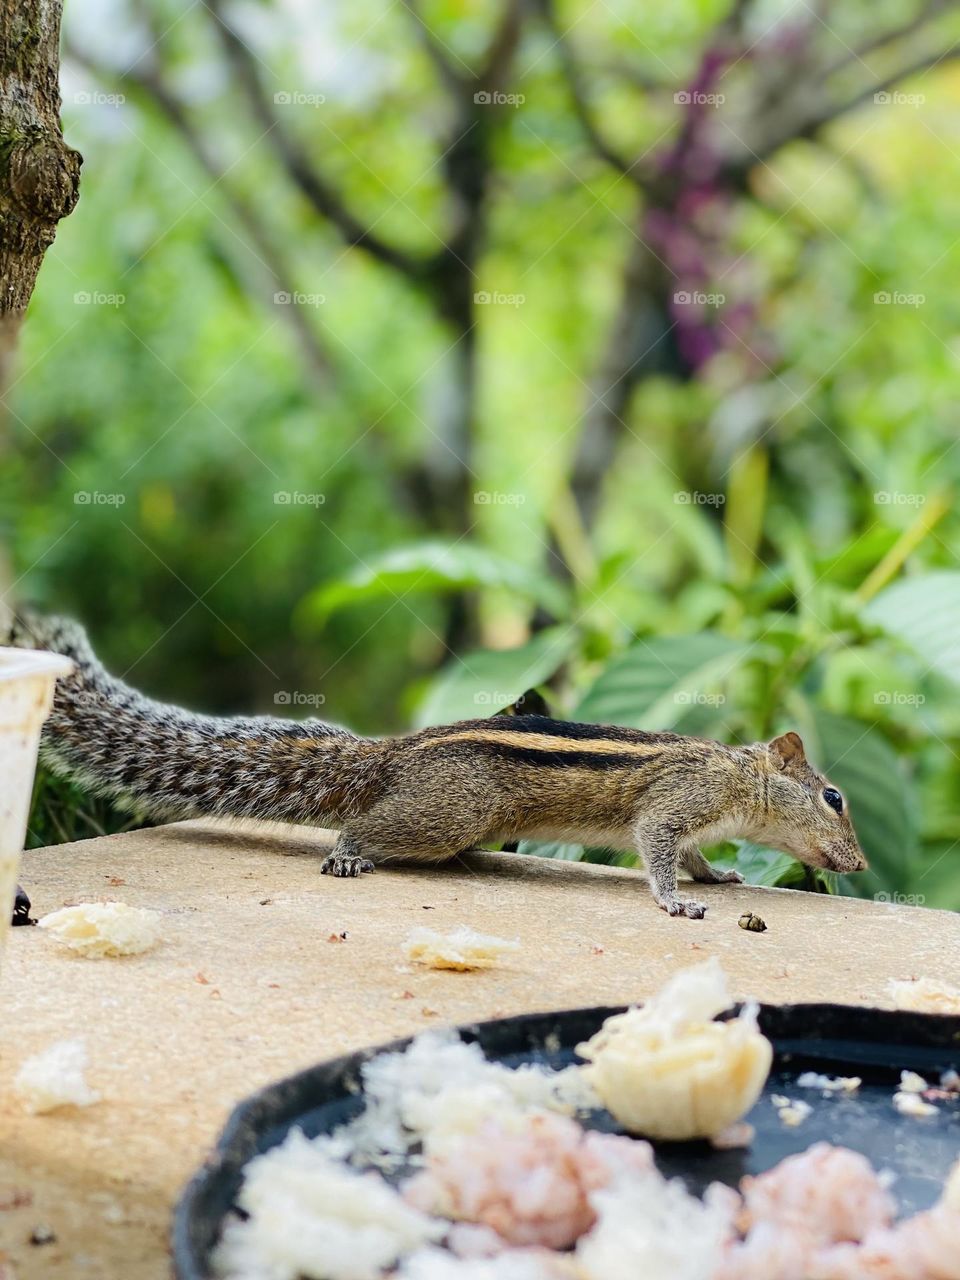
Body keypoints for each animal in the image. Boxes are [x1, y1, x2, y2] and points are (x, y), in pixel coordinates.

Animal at [4, 612, 867, 920]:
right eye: (835, 797)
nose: (859, 866)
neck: (741, 778)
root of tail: (393, 755)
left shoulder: (695, 819)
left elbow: (693, 855)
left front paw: (720, 876)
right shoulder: (676, 801)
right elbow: (657, 850)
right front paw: (677, 901)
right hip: (448, 811)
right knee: (365, 828)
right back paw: (349, 856)